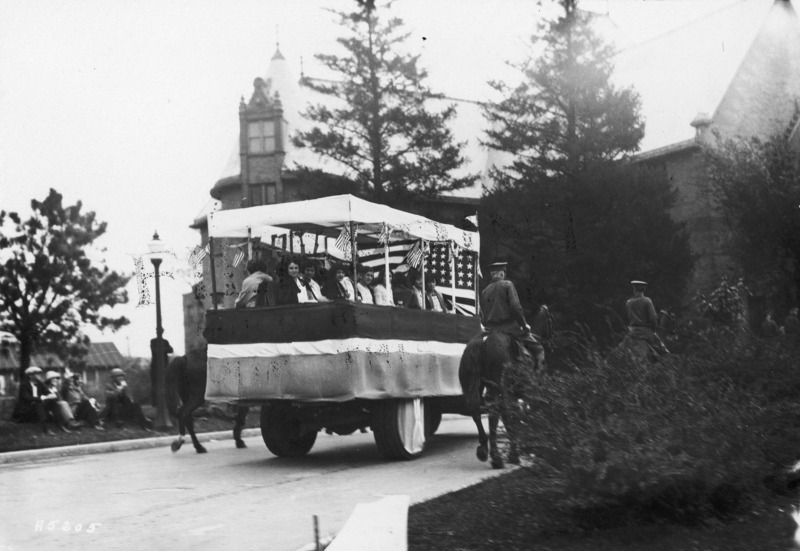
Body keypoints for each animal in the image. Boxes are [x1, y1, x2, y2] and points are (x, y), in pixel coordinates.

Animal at [456, 306, 552, 470]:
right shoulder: (528, 393)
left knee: (477, 412)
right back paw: (498, 458)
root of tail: (484, 339)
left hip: (477, 386)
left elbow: (511, 417)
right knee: (496, 414)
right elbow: (517, 416)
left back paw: (484, 449)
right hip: (498, 388)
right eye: (548, 320)